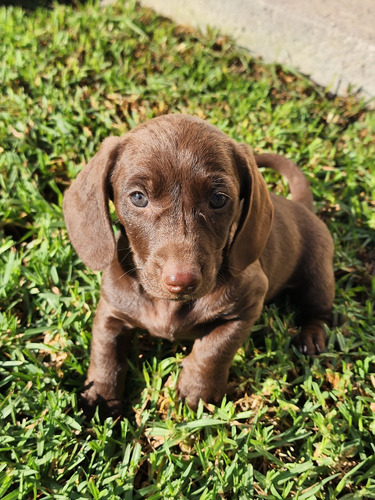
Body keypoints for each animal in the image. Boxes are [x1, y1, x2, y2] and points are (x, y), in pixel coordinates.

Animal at [63, 114, 336, 418]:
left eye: (218, 199)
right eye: (138, 197)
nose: (181, 280)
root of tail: (301, 207)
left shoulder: (247, 306)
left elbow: (213, 350)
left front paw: (197, 391)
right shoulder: (111, 310)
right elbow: (105, 352)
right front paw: (100, 395)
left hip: (317, 274)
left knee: (319, 310)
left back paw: (311, 336)